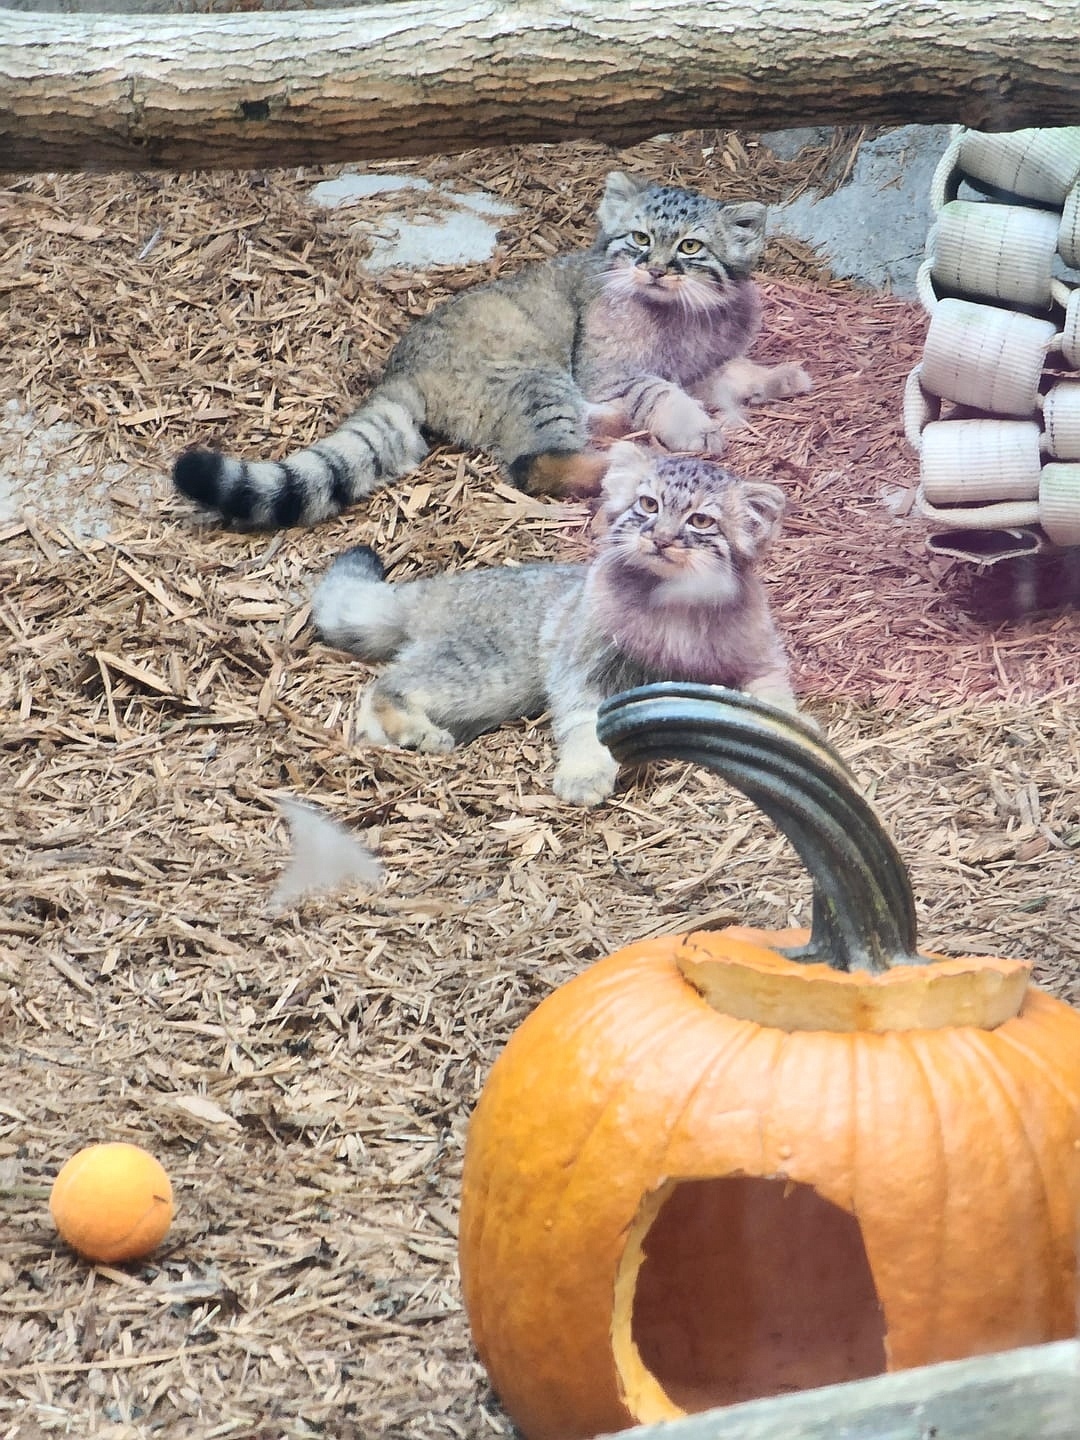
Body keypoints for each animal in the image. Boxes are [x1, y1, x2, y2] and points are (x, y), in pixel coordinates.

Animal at [173, 169, 806, 529]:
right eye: (640, 239)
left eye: (691, 247)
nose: (653, 269)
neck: (686, 315)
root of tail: (399, 372)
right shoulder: (604, 371)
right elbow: (657, 389)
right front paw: (693, 426)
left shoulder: (702, 363)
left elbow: (730, 374)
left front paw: (779, 377)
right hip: (538, 376)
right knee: (536, 463)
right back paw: (633, 460)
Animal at [308, 443, 800, 806]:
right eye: (648, 504)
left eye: (700, 520)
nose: (659, 539)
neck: (673, 606)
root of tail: (436, 587)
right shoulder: (583, 672)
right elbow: (584, 726)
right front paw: (584, 774)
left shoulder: (761, 662)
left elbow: (779, 705)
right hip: (487, 675)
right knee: (385, 683)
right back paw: (418, 731)